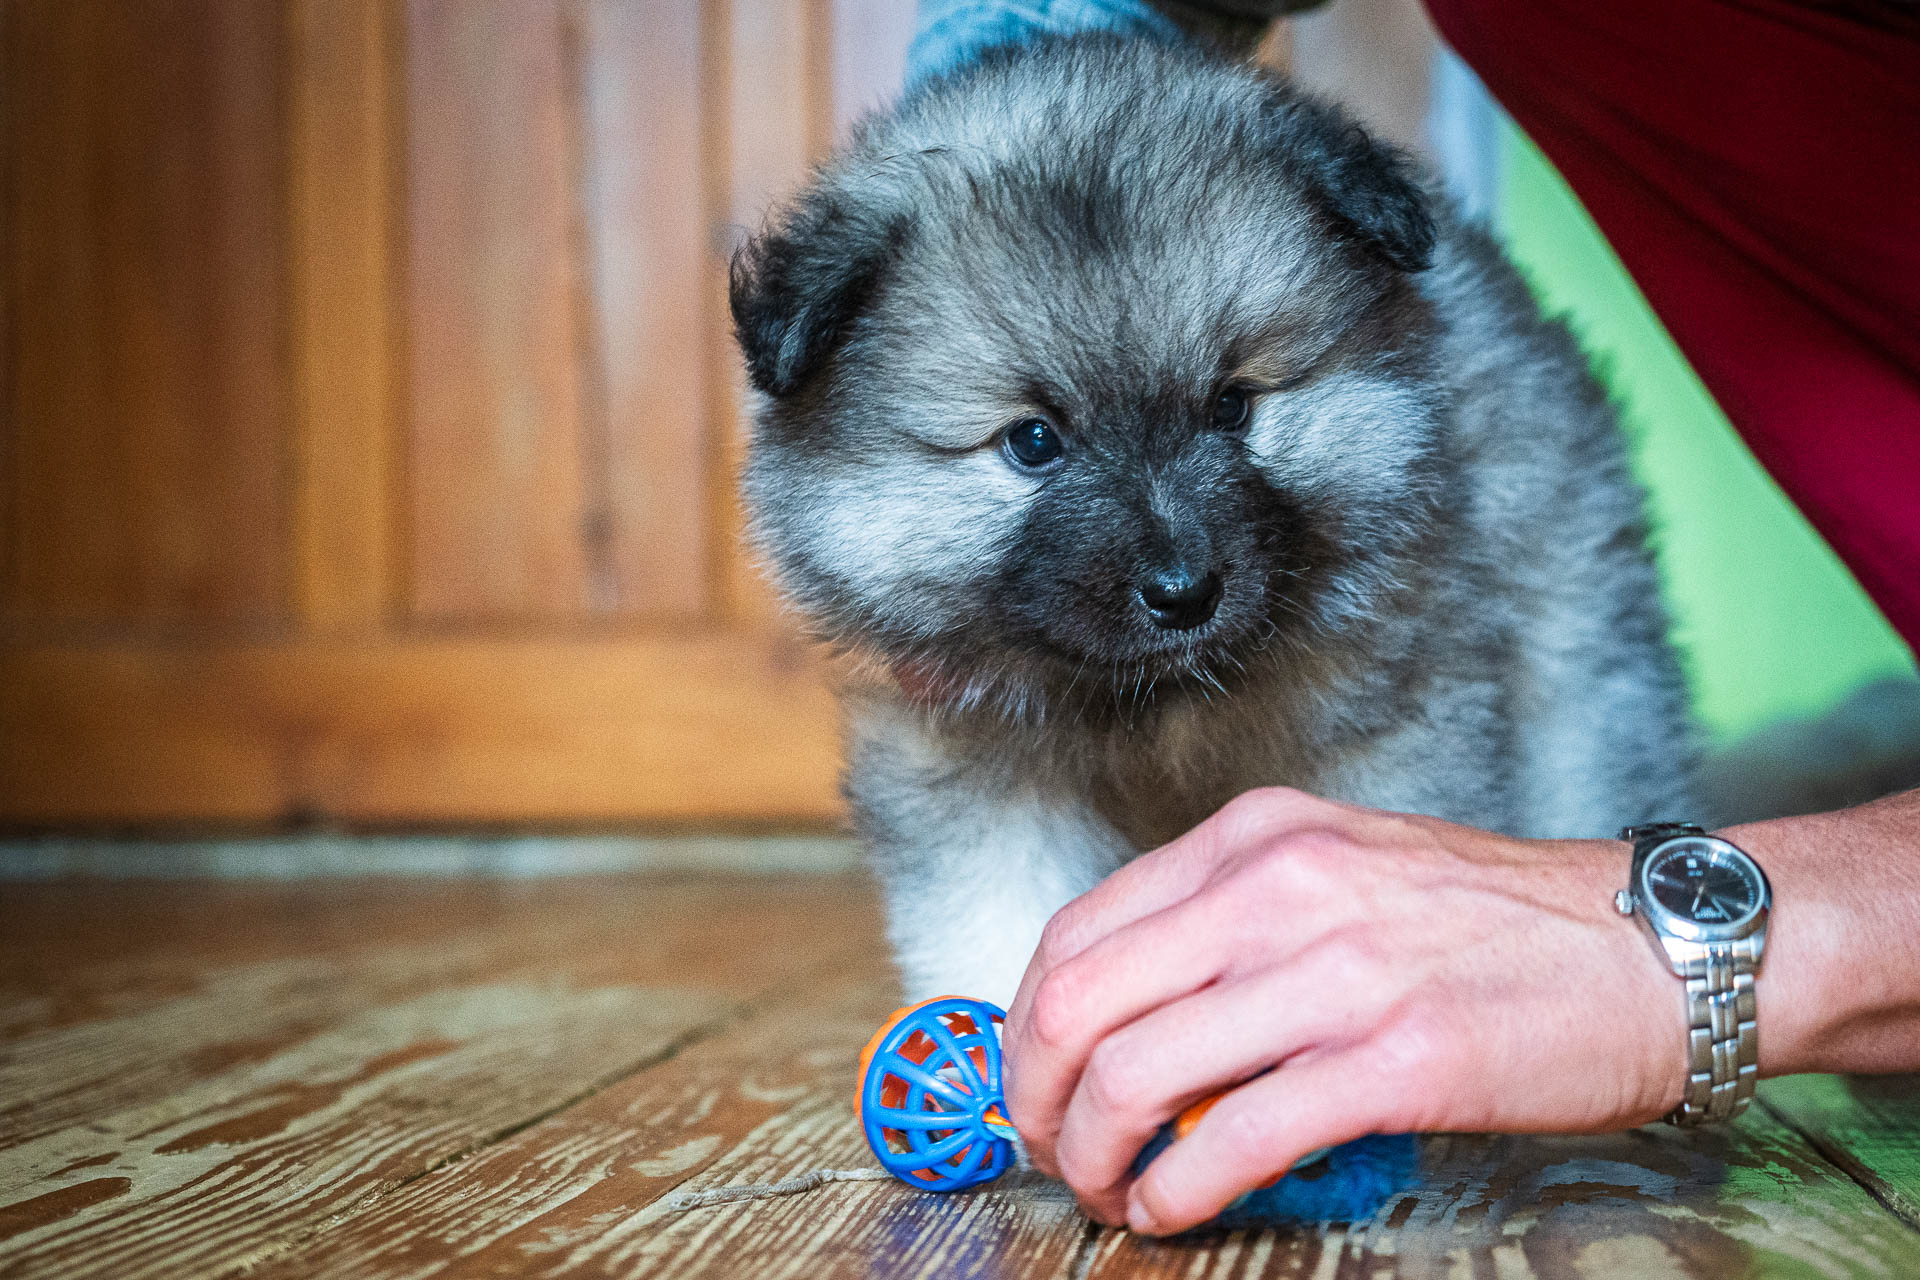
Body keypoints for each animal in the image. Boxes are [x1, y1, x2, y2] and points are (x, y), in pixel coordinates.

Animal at [725, 32, 1689, 1013]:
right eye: (1033, 441)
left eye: (1233, 407)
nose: (1185, 594)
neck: (1155, 704)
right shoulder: (973, 773)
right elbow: (1001, 929)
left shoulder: (1389, 722)